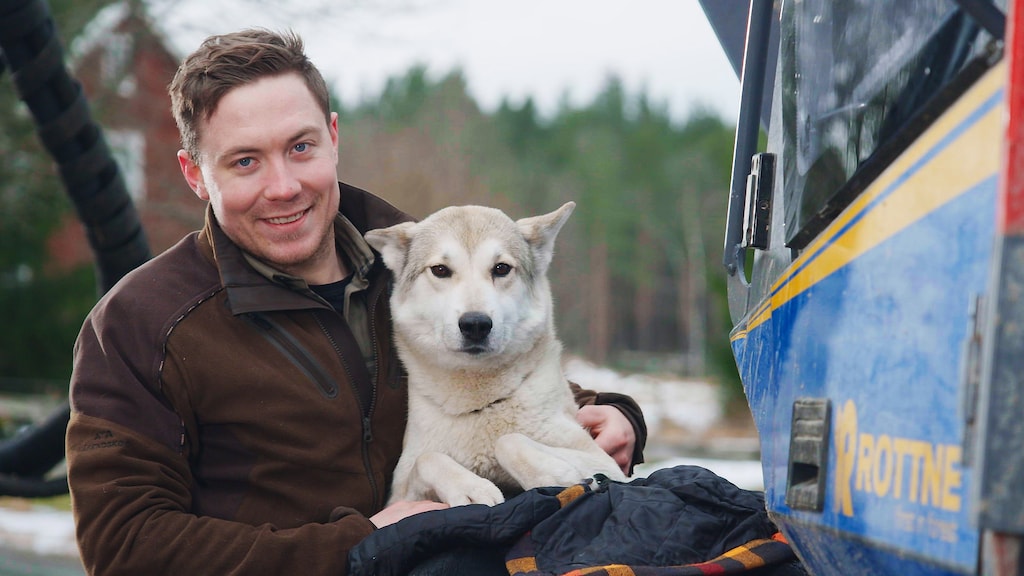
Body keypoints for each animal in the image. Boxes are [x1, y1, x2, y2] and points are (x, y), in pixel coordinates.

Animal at [364, 200, 626, 502]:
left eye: (501, 268)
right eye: (440, 270)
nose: (475, 324)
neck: (481, 405)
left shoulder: (607, 464)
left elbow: (508, 441)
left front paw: (556, 475)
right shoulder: (398, 497)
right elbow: (428, 459)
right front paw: (471, 489)